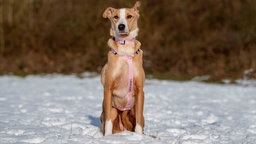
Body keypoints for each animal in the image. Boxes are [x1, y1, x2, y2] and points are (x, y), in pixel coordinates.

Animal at [100, 1, 145, 136]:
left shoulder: (140, 91)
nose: (121, 26)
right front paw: (107, 136)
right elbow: (108, 120)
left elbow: (138, 120)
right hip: (113, 111)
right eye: (115, 17)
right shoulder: (108, 89)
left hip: (132, 110)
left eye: (129, 16)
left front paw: (139, 136)